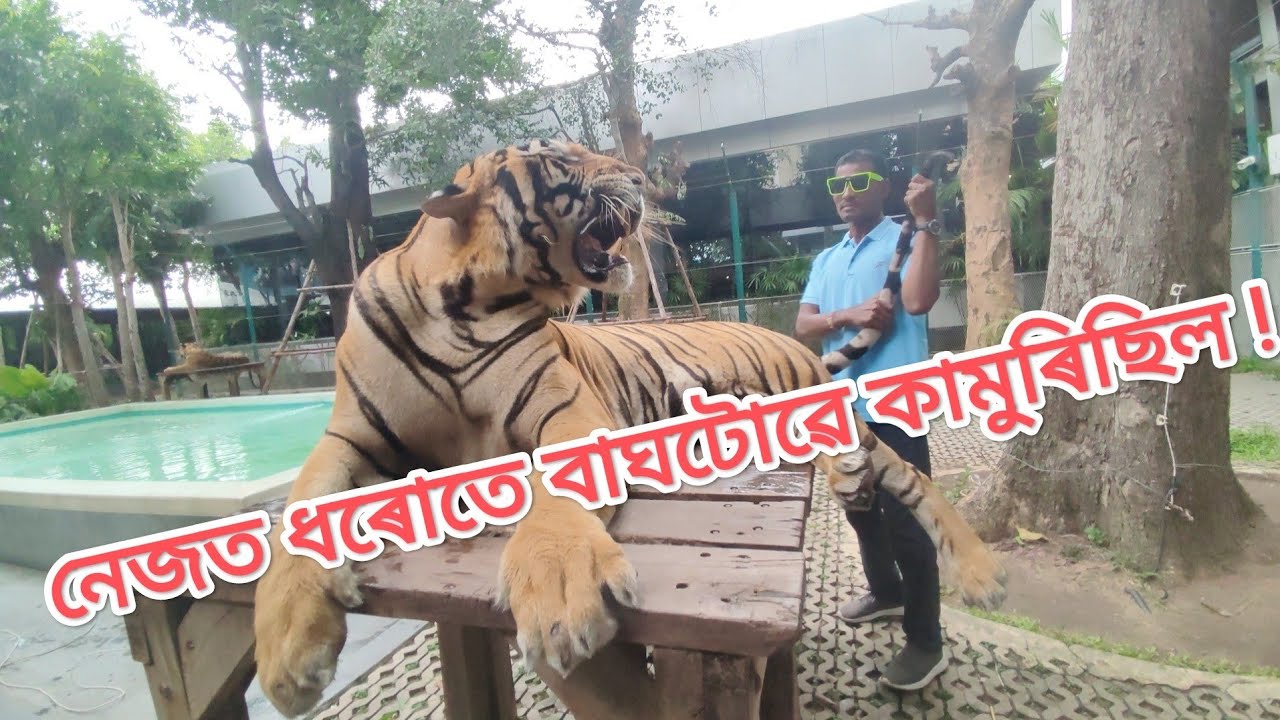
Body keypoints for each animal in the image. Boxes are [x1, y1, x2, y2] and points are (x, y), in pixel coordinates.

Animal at [251, 138, 1008, 718]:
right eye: (561, 159)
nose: (642, 179)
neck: (462, 303)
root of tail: (790, 340)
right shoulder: (351, 438)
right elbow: (299, 510)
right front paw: (286, 648)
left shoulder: (567, 411)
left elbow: (557, 497)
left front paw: (560, 593)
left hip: (813, 401)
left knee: (907, 478)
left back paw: (977, 574)